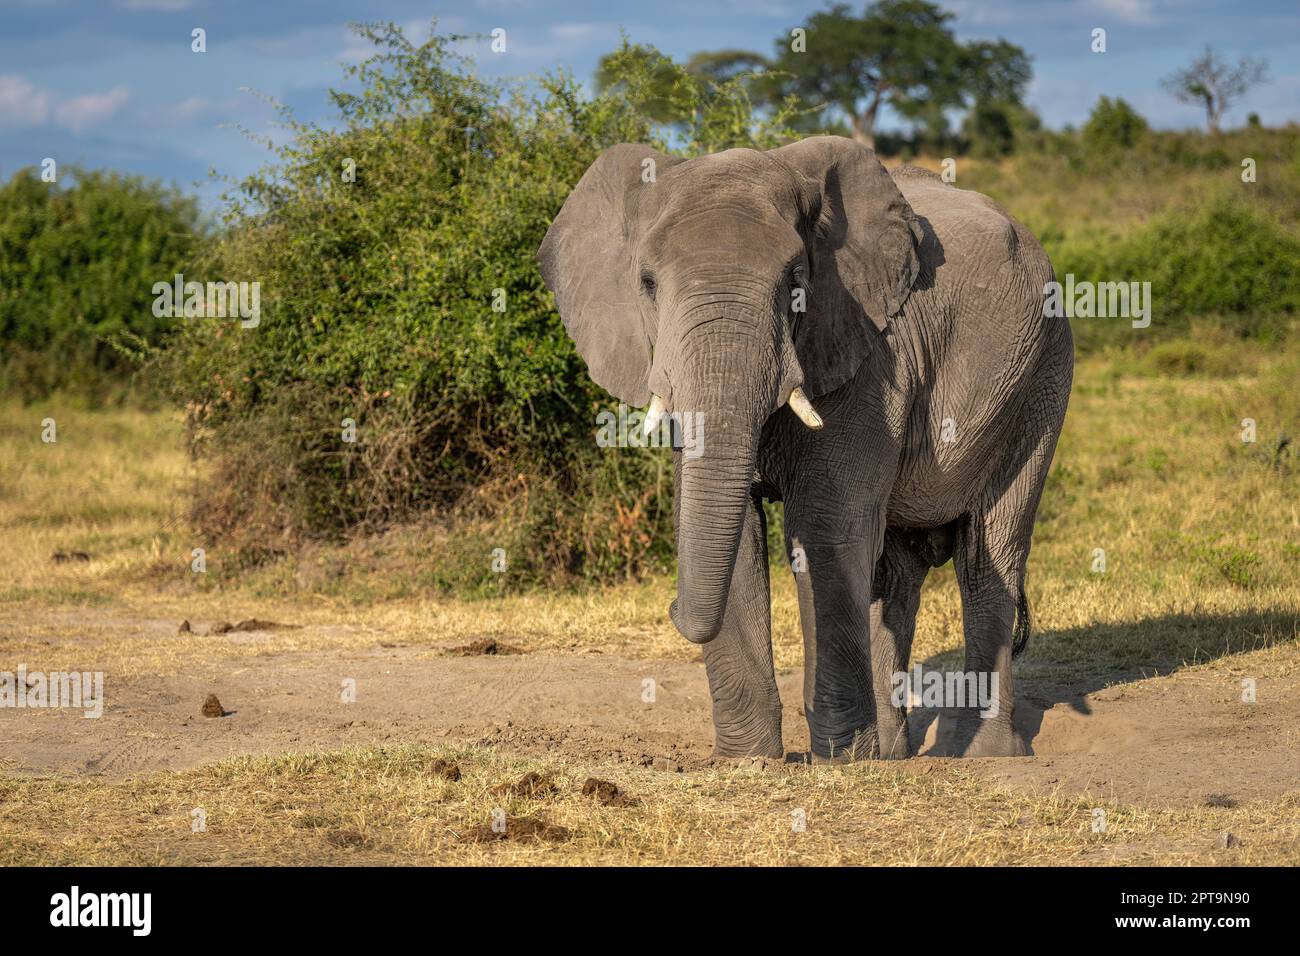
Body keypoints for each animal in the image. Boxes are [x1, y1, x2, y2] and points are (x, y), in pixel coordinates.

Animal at [537, 135, 1073, 760]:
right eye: (646, 283)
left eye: (797, 279)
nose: (670, 608)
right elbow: (734, 529)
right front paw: (748, 762)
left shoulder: (869, 356)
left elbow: (825, 527)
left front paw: (840, 762)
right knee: (895, 571)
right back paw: (892, 754)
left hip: (1043, 373)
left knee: (990, 551)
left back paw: (983, 755)